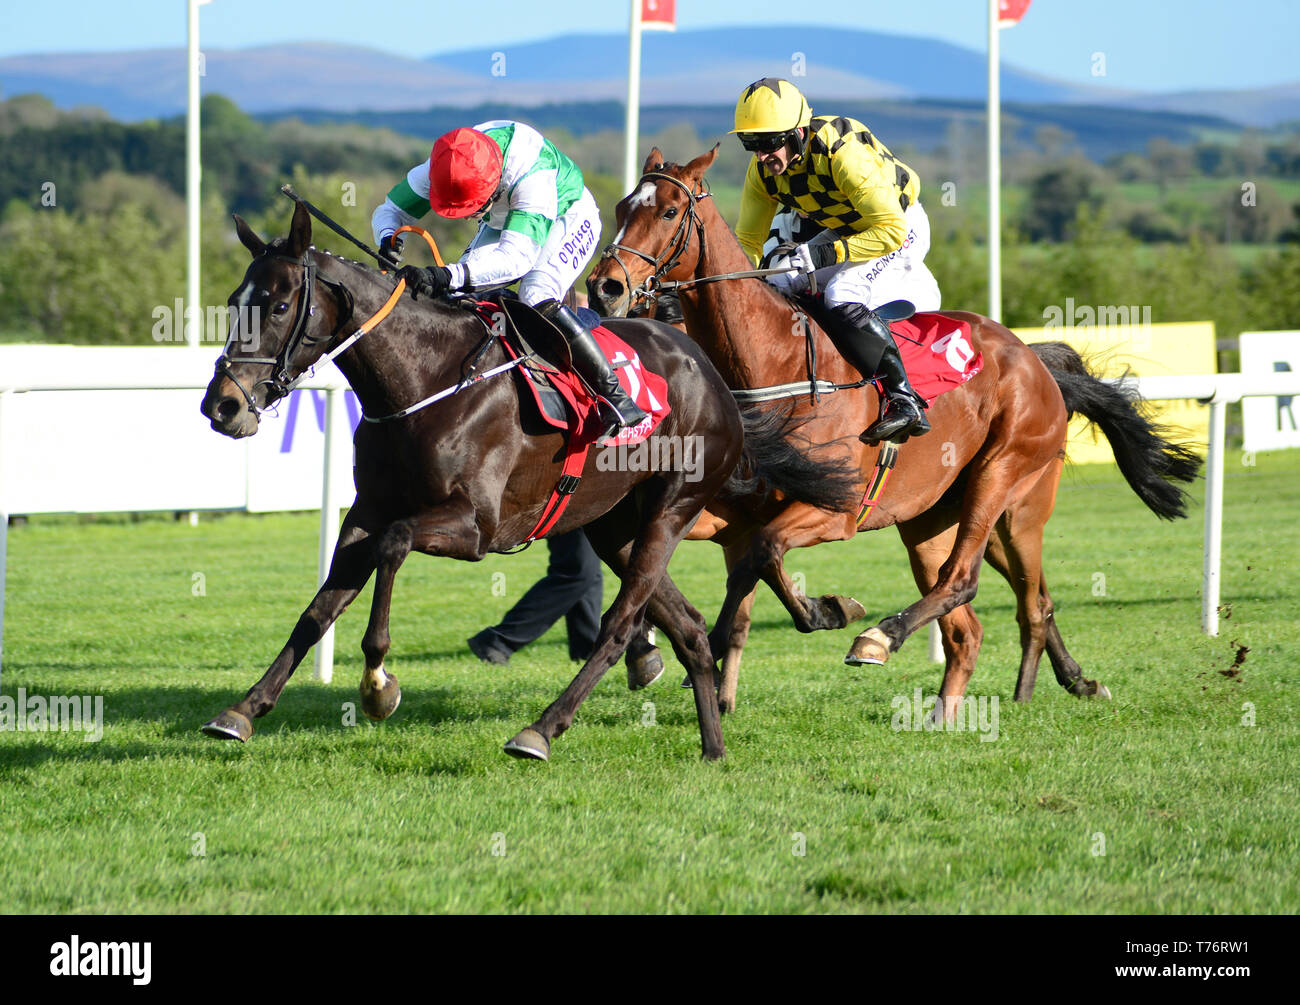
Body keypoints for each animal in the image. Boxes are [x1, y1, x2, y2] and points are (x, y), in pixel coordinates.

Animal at [196, 197, 795, 759]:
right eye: (234, 303)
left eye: (278, 305)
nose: (222, 406)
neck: (426, 378)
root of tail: (713, 375)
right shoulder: (368, 510)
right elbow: (319, 609)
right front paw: (242, 711)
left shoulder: (475, 527)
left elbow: (394, 545)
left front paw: (378, 684)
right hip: (614, 524)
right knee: (689, 628)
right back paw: (712, 747)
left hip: (674, 508)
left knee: (621, 623)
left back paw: (541, 730)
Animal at [587, 146, 1196, 712]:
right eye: (620, 208)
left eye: (669, 211)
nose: (606, 288)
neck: (775, 363)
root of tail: (1035, 360)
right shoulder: (728, 513)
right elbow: (722, 573)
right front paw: (681, 658)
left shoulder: (835, 510)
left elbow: (765, 557)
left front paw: (828, 611)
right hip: (937, 518)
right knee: (1002, 608)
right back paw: (1020, 691)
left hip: (1006, 486)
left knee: (970, 582)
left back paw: (883, 637)